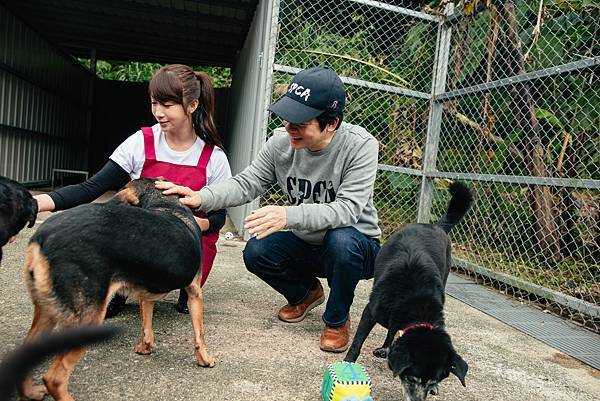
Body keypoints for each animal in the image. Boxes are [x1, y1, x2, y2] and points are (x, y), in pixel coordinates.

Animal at [18, 178, 214, 400]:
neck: (165, 203)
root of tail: (42, 238)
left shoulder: (146, 294)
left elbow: (146, 327)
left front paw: (145, 347)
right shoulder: (194, 291)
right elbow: (199, 334)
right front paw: (204, 358)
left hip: (47, 312)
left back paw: (31, 392)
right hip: (88, 319)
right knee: (54, 378)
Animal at [346, 182, 474, 400]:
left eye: (433, 382)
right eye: (411, 379)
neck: (417, 301)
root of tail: (433, 225)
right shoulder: (370, 311)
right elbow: (357, 342)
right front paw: (347, 363)